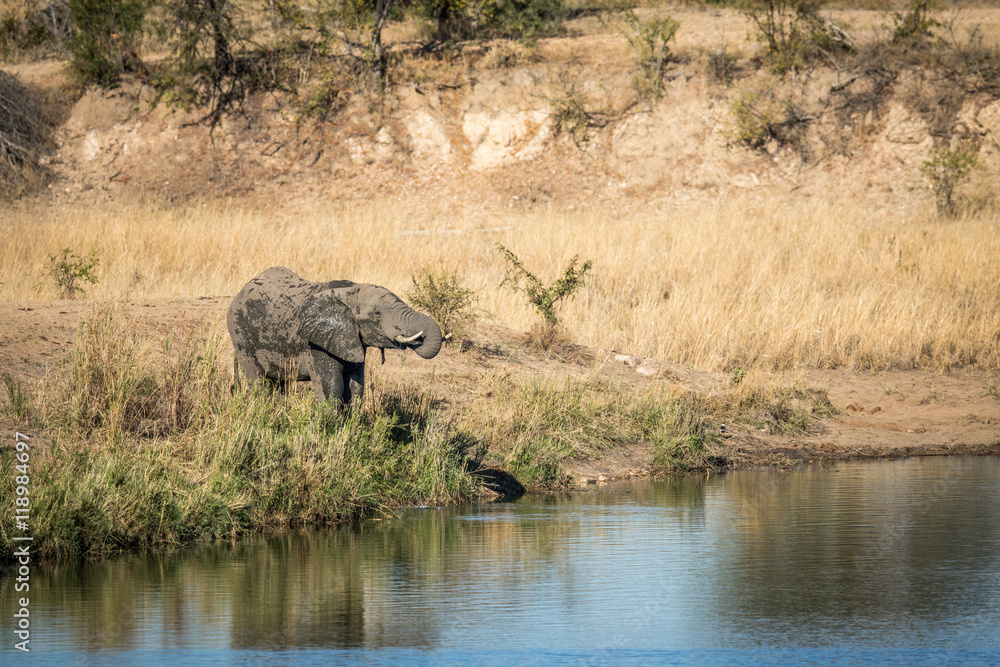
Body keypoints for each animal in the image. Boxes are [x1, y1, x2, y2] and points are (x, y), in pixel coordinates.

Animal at [226, 267, 442, 404]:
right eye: (377, 314)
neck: (350, 292)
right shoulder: (315, 341)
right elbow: (332, 387)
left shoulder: (350, 339)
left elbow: (355, 387)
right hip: (240, 335)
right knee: (259, 382)